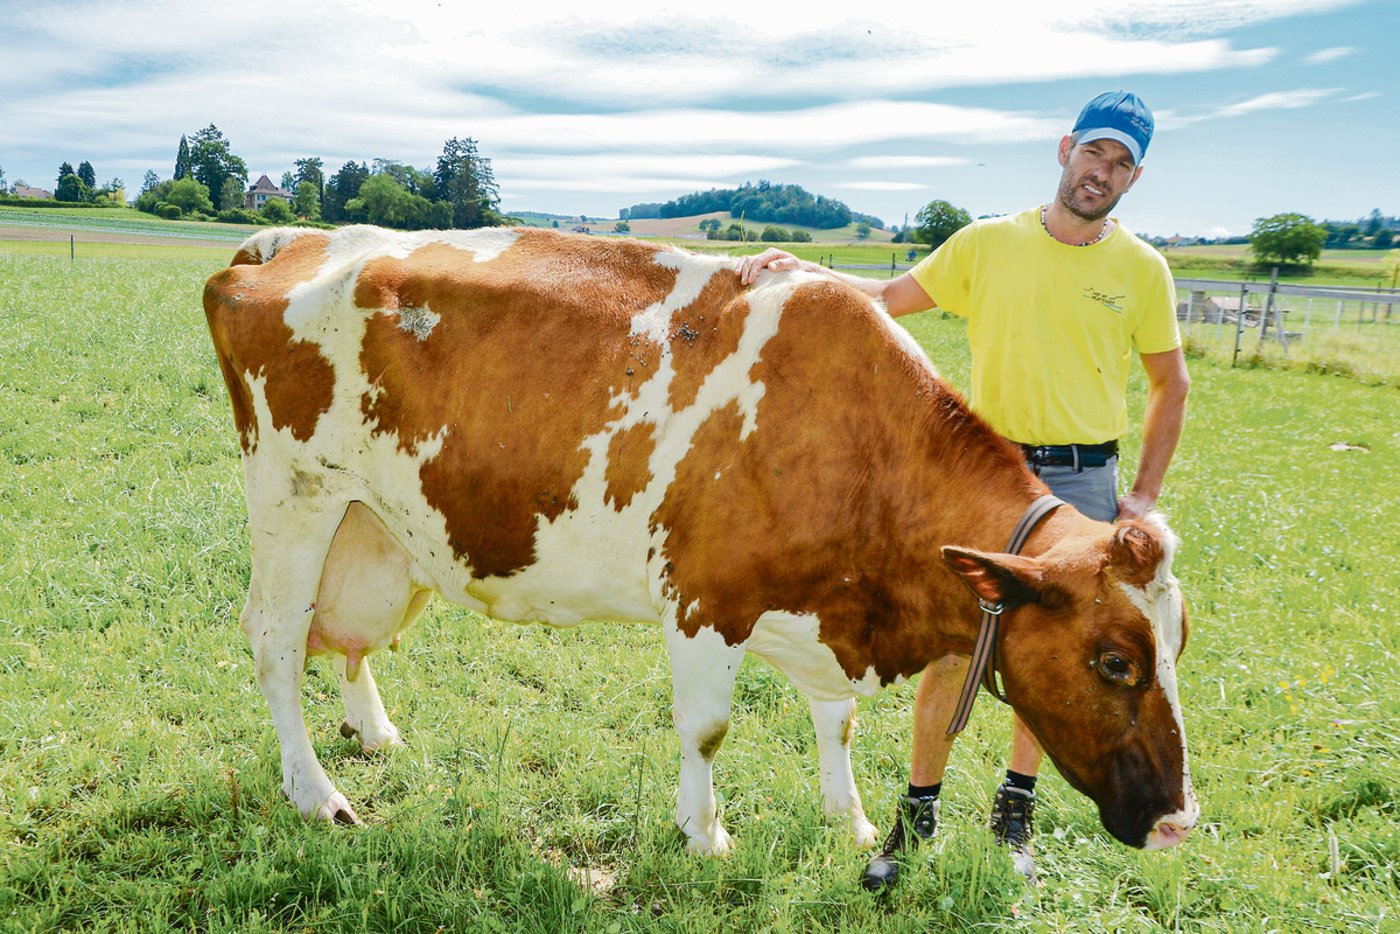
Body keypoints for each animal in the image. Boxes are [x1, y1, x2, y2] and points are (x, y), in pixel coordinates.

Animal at [203, 225, 1197, 858]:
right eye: (1115, 660)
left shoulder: (819, 612)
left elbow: (835, 719)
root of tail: (289, 240)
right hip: (294, 495)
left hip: (376, 524)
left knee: (347, 635)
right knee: (277, 639)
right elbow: (708, 728)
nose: (1180, 822)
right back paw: (316, 793)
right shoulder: (707, 599)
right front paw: (706, 833)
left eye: (1176, 645)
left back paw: (372, 732)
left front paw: (850, 820)